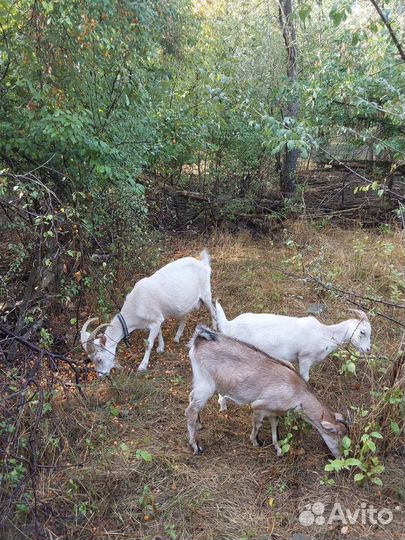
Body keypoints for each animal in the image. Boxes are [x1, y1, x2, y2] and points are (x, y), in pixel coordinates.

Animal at [80, 250, 216, 376]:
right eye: (91, 359)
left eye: (99, 359)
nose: (101, 376)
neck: (136, 306)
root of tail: (203, 263)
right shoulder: (157, 319)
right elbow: (159, 332)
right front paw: (161, 348)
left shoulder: (155, 320)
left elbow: (148, 344)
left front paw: (142, 366)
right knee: (185, 316)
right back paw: (177, 337)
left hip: (206, 293)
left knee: (213, 310)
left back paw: (215, 329)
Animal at [186, 326, 348, 458]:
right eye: (338, 438)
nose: (340, 457)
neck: (297, 393)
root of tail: (199, 339)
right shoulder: (259, 406)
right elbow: (257, 425)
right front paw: (255, 442)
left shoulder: (274, 411)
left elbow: (275, 429)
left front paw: (278, 450)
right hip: (206, 384)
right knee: (191, 410)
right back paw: (196, 446)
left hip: (199, 381)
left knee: (191, 398)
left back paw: (199, 425)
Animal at [216, 302, 370, 386]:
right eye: (362, 332)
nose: (367, 349)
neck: (324, 333)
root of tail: (229, 325)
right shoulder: (305, 357)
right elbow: (305, 378)